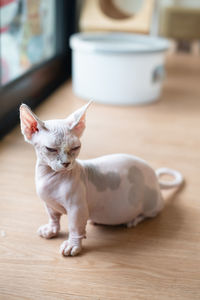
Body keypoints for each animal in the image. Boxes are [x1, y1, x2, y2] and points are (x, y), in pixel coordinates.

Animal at [19, 102, 184, 256]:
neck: (50, 176)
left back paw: (134, 219)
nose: (66, 163)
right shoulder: (49, 204)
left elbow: (75, 227)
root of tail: (155, 176)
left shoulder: (77, 208)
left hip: (150, 202)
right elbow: (53, 218)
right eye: (51, 149)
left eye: (75, 148)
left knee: (152, 213)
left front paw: (72, 245)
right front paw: (51, 230)